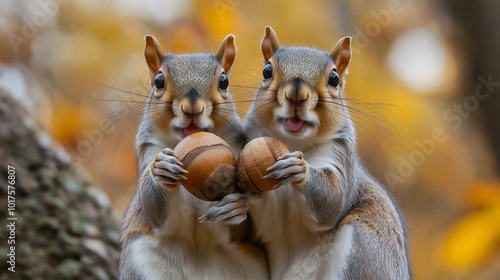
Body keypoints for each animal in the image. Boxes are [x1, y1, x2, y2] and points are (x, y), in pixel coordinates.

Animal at [240, 26, 412, 280]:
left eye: (334, 79)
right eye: (267, 71)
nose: (296, 95)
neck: (293, 142)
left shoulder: (340, 154)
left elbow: (332, 201)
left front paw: (299, 169)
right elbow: (265, 224)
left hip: (365, 248)